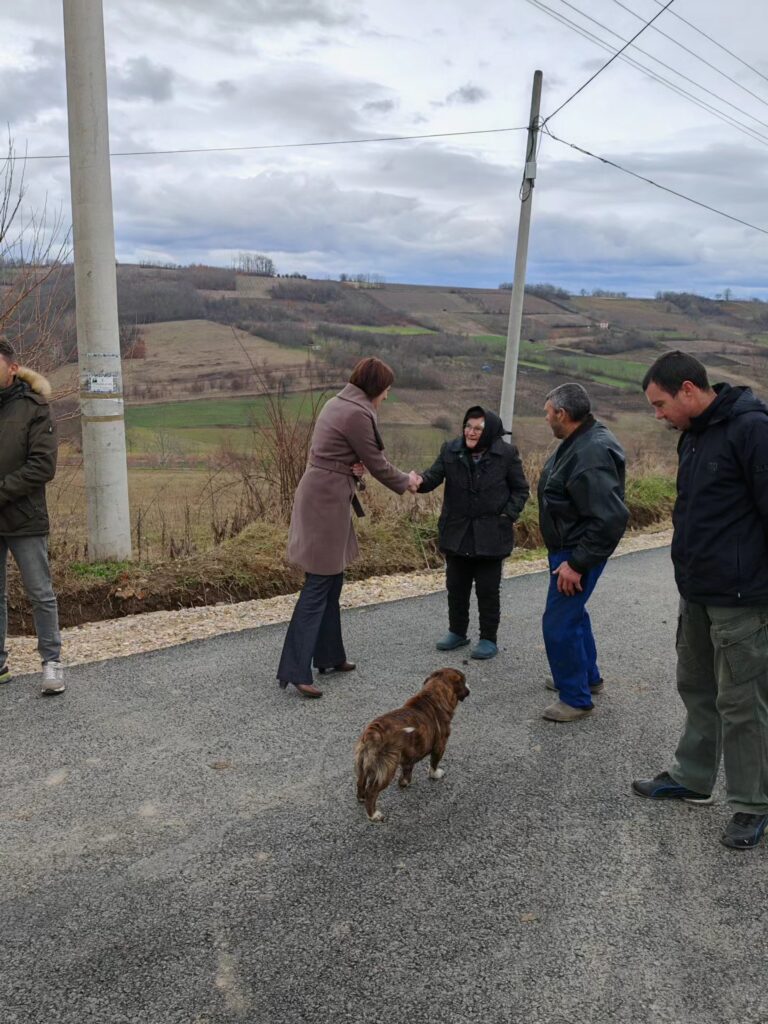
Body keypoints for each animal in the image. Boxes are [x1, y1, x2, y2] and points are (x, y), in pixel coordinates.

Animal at [354, 667, 469, 822]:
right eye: (464, 680)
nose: (469, 686)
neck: (433, 695)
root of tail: (373, 732)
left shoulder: (409, 753)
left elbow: (407, 769)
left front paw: (404, 782)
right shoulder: (440, 745)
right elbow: (434, 763)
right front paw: (435, 774)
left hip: (362, 762)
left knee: (360, 781)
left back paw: (361, 798)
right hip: (387, 768)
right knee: (372, 791)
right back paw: (373, 814)